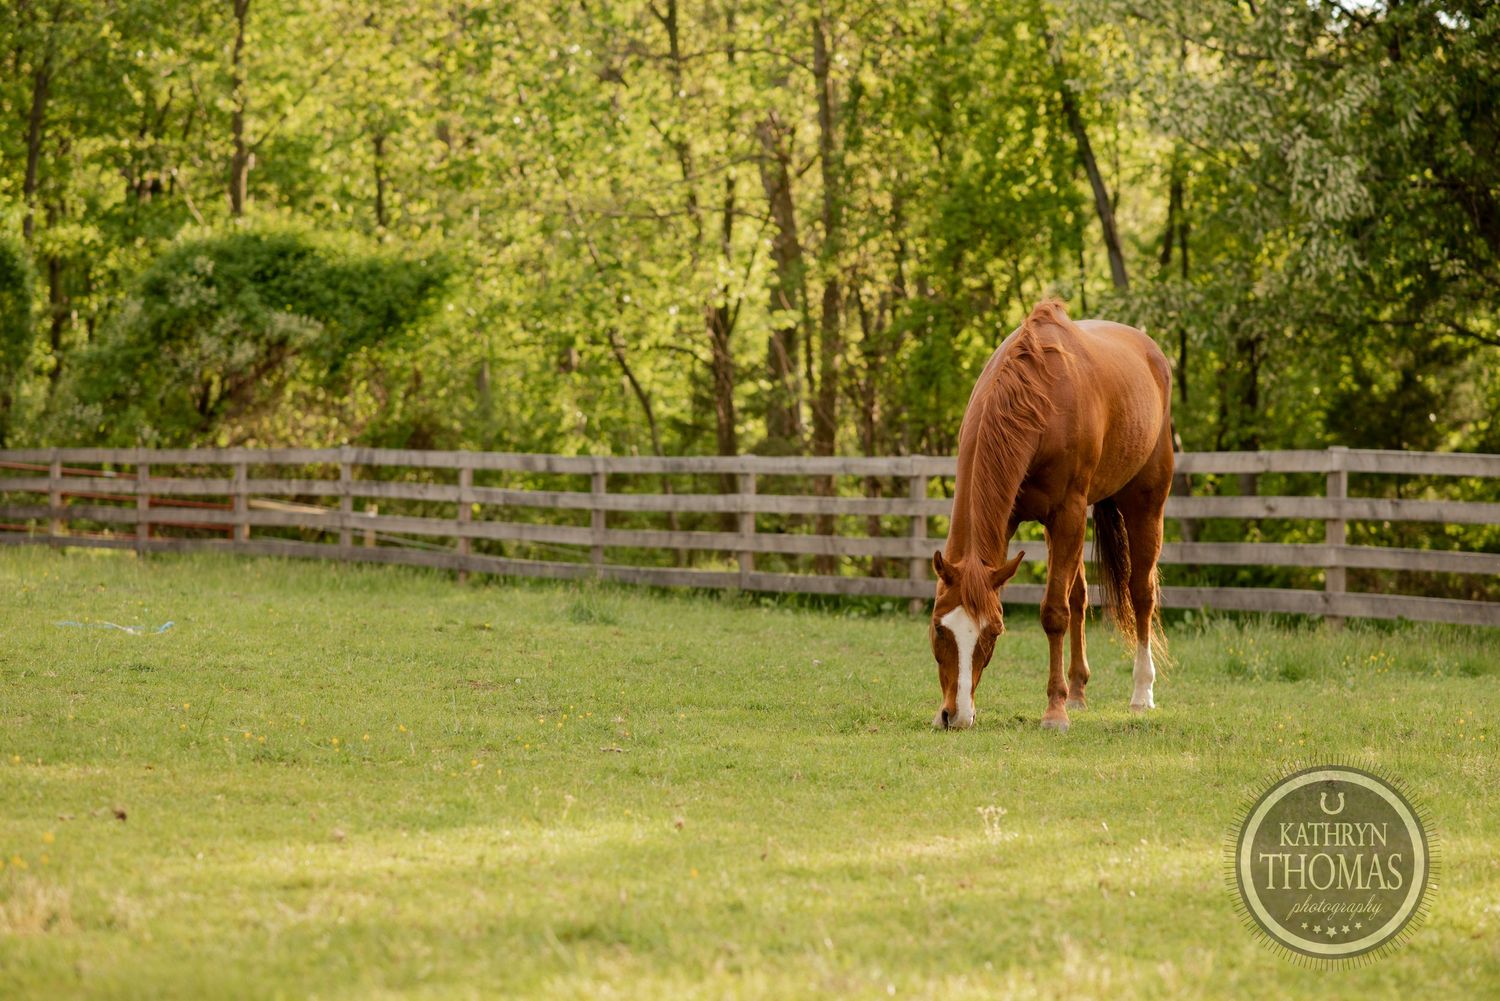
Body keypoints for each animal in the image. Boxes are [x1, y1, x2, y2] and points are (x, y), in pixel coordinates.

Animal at [928, 300, 1173, 732]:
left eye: (993, 633)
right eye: (939, 628)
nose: (954, 715)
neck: (1038, 400)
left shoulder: (1068, 513)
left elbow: (1054, 613)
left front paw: (1055, 711)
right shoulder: (1012, 520)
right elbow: (1069, 601)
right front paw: (1065, 699)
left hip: (1145, 505)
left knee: (1141, 594)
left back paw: (1141, 693)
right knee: (1080, 596)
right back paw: (1077, 691)